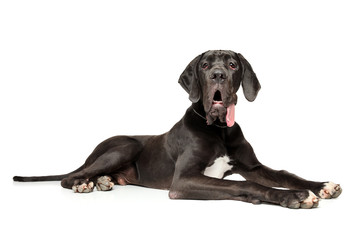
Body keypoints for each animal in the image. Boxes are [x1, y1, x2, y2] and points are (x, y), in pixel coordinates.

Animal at [13, 50, 340, 208]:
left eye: (233, 65)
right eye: (205, 65)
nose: (218, 75)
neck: (218, 129)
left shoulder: (252, 166)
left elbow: (285, 174)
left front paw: (320, 185)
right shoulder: (183, 181)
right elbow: (245, 186)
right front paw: (293, 197)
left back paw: (103, 181)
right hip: (124, 145)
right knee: (70, 177)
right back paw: (85, 183)